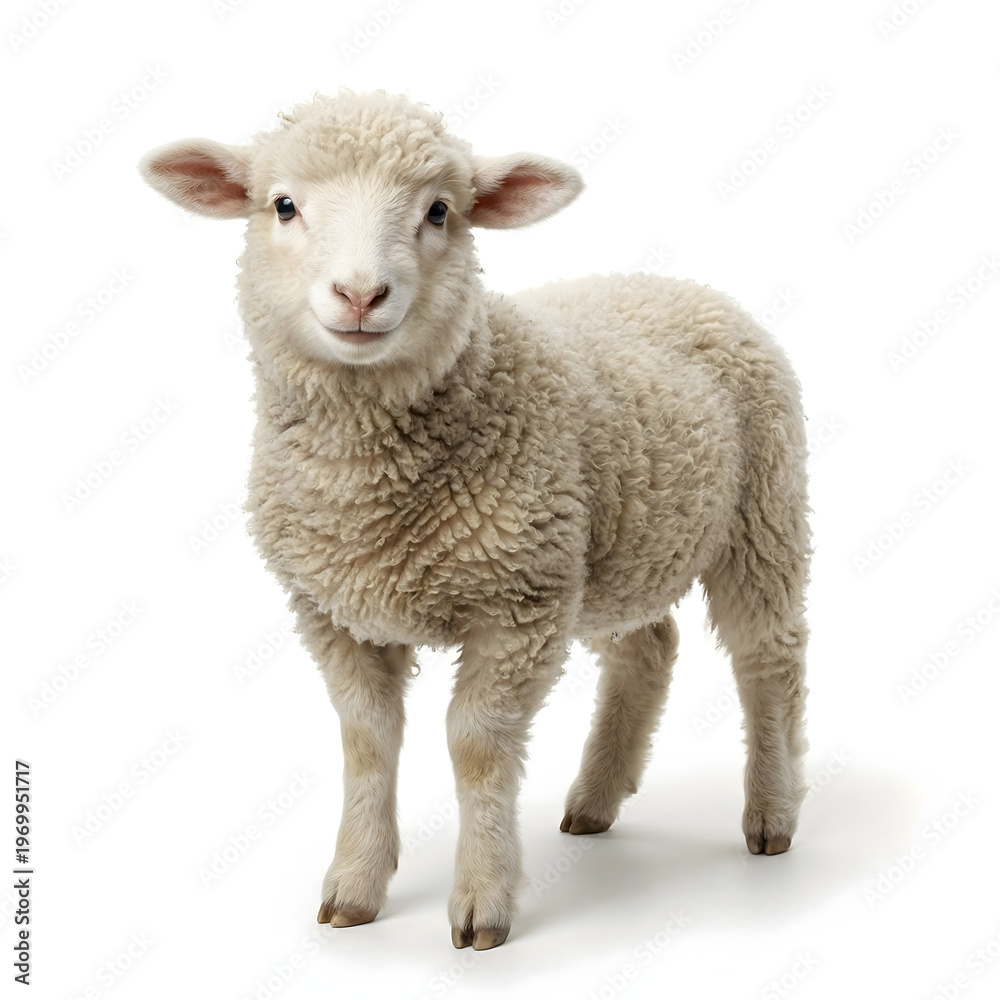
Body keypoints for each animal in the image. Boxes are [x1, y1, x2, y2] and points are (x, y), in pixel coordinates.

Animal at [139, 89, 810, 951]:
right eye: (283, 205)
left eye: (439, 211)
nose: (361, 296)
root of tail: (678, 284)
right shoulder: (334, 612)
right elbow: (366, 741)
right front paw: (354, 887)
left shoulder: (518, 605)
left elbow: (476, 745)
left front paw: (483, 902)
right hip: (617, 545)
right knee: (648, 649)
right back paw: (596, 798)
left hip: (761, 514)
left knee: (768, 659)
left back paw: (772, 812)